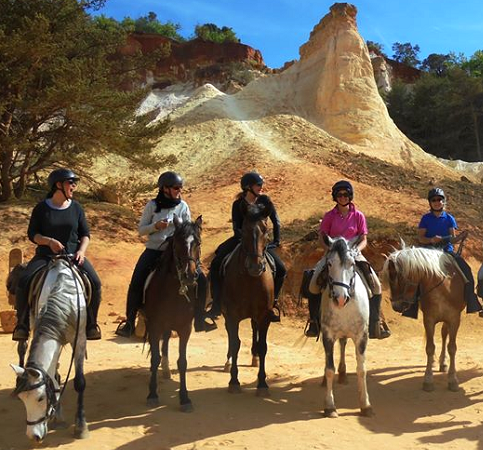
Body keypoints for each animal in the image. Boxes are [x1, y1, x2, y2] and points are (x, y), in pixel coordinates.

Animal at [10, 255, 89, 442]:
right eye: (22, 400)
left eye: (40, 398)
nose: (33, 436)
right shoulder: (52, 333)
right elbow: (54, 377)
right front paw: (58, 417)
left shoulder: (79, 340)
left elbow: (79, 382)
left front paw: (80, 426)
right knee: (22, 346)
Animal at [145, 214, 203, 412]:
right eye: (177, 242)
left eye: (198, 243)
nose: (189, 275)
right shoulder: (154, 325)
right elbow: (154, 358)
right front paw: (152, 394)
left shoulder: (185, 328)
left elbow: (183, 362)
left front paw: (184, 398)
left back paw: (166, 370)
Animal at [223, 195, 276, 396]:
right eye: (244, 230)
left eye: (266, 230)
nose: (255, 267)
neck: (250, 279)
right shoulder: (232, 316)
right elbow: (235, 344)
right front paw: (234, 381)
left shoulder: (264, 316)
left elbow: (263, 346)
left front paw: (262, 384)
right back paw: (228, 361)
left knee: (255, 331)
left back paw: (254, 357)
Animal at [320, 236, 372, 418]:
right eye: (329, 263)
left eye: (352, 263)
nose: (340, 298)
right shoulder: (327, 335)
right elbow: (329, 369)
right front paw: (330, 406)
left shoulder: (362, 335)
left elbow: (361, 369)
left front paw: (365, 405)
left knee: (343, 343)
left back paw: (343, 374)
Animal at [384, 244, 466, 392]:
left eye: (398, 278)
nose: (395, 306)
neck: (443, 288)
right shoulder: (429, 319)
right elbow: (430, 347)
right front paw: (428, 380)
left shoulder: (454, 319)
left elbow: (452, 348)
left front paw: (453, 380)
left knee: (444, 334)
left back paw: (443, 362)